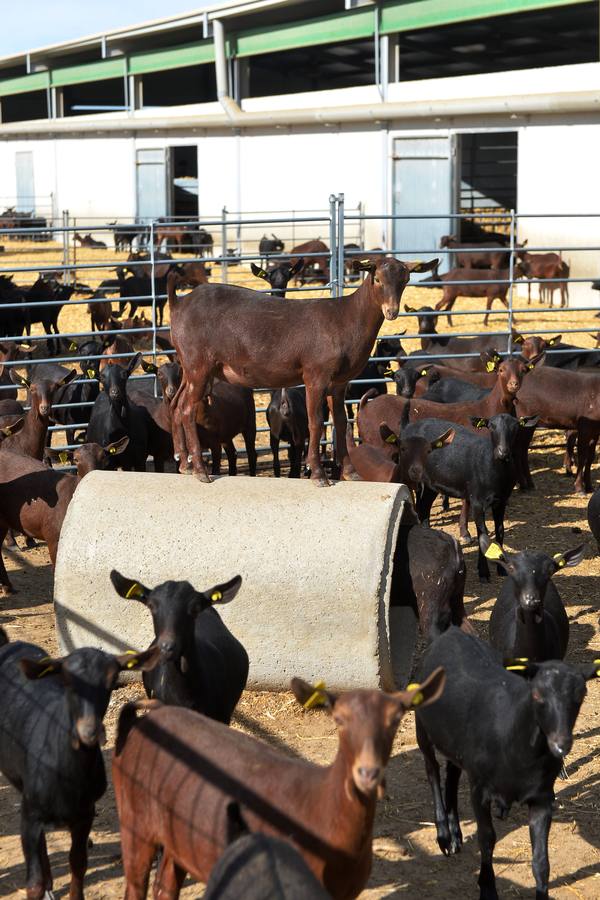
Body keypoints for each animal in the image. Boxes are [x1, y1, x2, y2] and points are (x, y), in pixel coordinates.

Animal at [166, 255, 438, 486]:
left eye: (405, 280)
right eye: (378, 279)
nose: (391, 311)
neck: (346, 318)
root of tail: (178, 304)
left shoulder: (339, 382)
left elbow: (341, 422)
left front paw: (350, 472)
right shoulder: (316, 374)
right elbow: (315, 422)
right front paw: (318, 474)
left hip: (188, 366)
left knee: (176, 405)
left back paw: (184, 464)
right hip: (199, 364)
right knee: (187, 408)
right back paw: (200, 471)